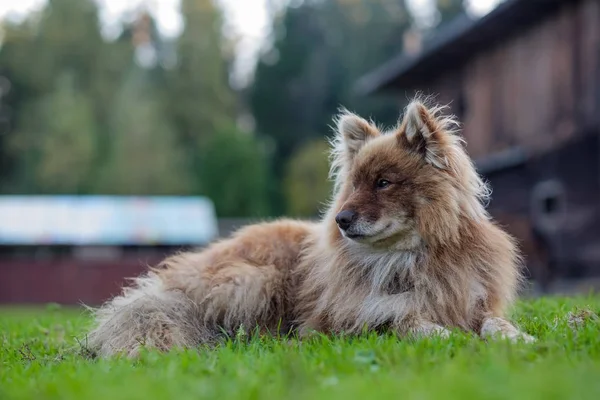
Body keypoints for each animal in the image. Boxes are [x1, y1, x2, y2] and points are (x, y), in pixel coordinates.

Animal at [88, 98, 536, 358]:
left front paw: (518, 339)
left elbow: (495, 324)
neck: (408, 256)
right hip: (256, 280)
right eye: (354, 185)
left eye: (383, 183)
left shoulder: (475, 302)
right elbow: (408, 321)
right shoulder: (360, 316)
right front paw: (448, 336)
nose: (341, 220)